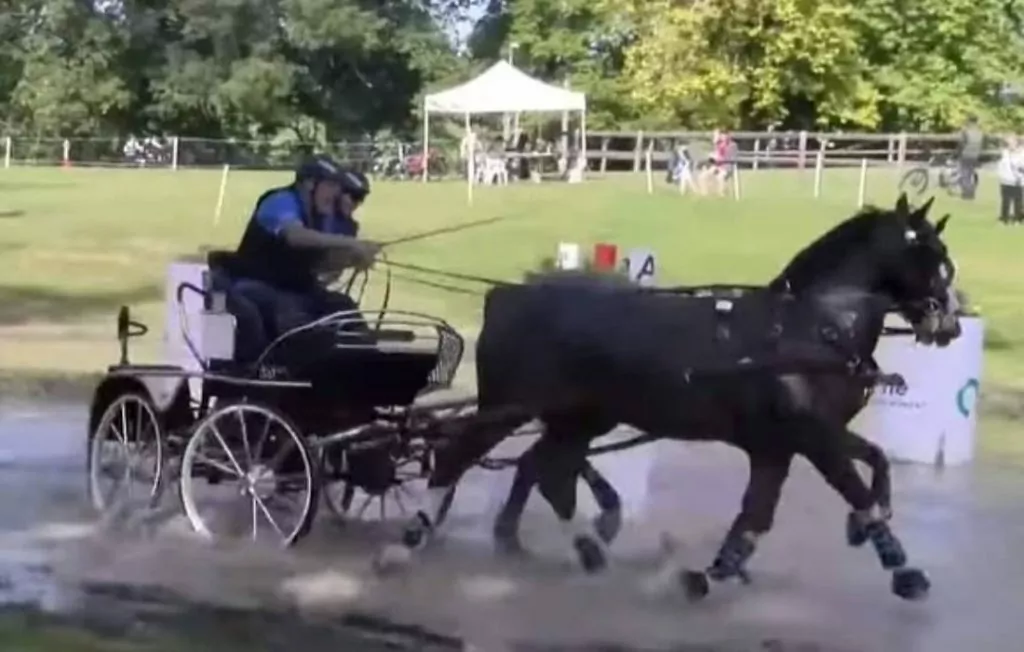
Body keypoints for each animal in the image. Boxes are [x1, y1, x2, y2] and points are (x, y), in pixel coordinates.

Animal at [380, 193, 962, 601]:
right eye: (929, 254)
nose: (950, 323)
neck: (812, 328)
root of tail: (506, 295)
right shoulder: (811, 437)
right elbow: (851, 490)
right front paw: (903, 568)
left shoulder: (786, 442)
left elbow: (796, 497)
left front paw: (716, 571)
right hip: (513, 406)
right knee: (459, 456)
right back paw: (409, 540)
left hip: (578, 416)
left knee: (551, 472)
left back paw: (582, 547)